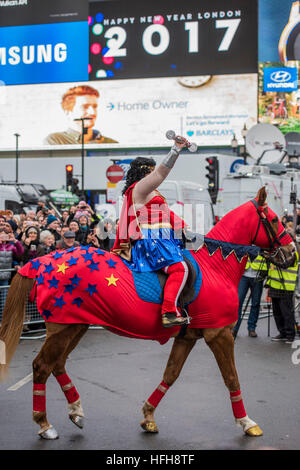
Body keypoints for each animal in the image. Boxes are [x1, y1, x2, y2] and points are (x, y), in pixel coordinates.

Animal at [0, 187, 296, 440]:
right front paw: (247, 423)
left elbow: (170, 375)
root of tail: (44, 261)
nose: (292, 253)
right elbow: (231, 377)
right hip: (63, 328)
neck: (215, 267)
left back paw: (76, 411)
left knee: (57, 364)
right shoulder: (219, 334)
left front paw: (148, 416)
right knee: (41, 366)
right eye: (272, 219)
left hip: (74, 325)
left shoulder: (187, 337)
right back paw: (44, 424)